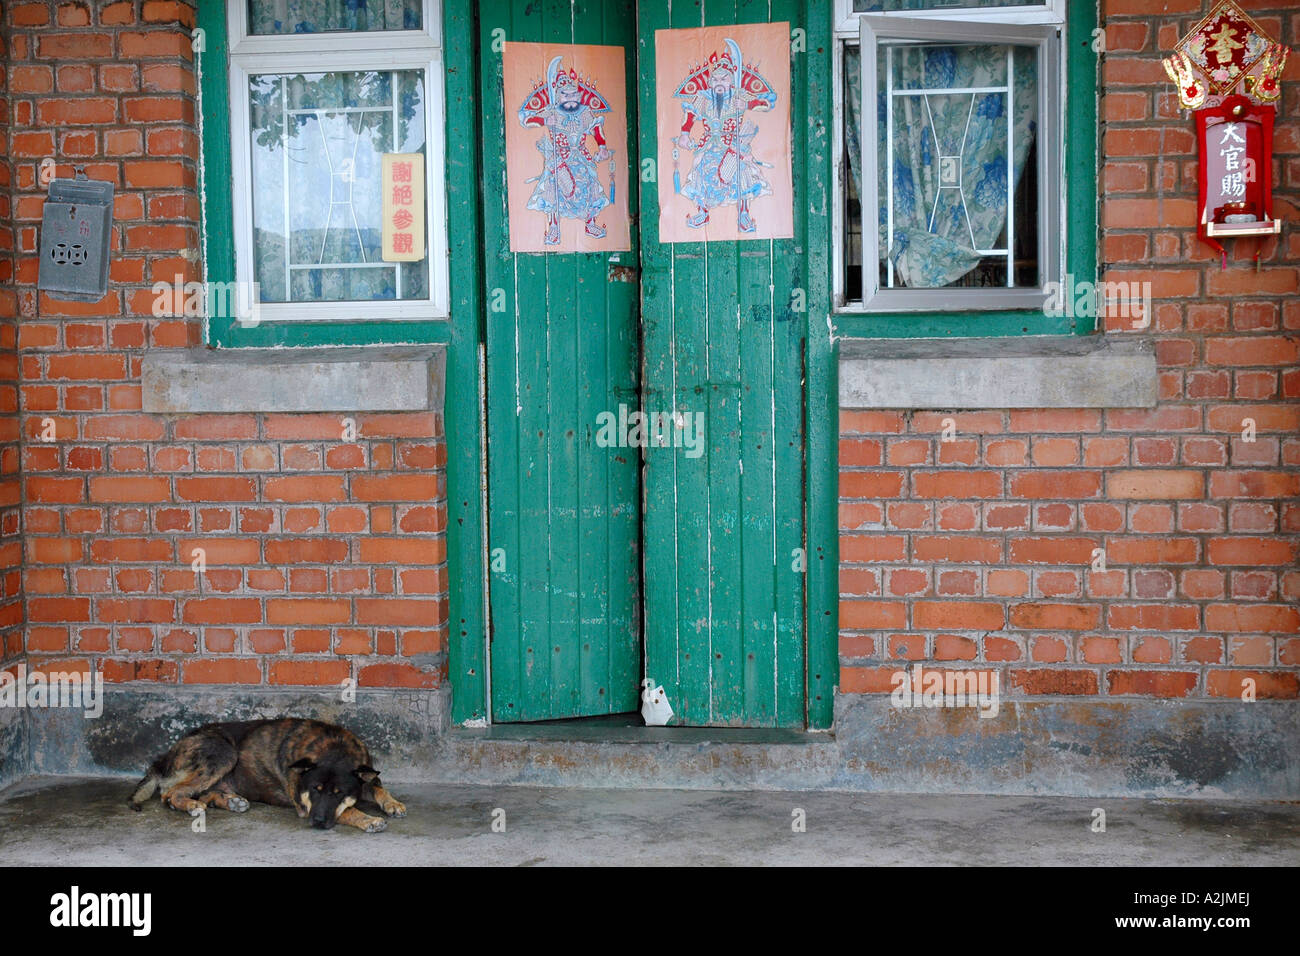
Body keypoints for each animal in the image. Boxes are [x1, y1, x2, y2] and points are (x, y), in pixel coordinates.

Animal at [127, 717, 403, 832]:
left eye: (338, 793)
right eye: (315, 790)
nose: (317, 822)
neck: (334, 748)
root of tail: (166, 755)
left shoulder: (365, 774)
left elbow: (378, 787)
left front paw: (392, 803)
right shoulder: (305, 806)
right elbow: (348, 811)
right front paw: (369, 819)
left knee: (202, 791)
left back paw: (231, 801)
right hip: (223, 752)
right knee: (170, 792)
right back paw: (190, 805)